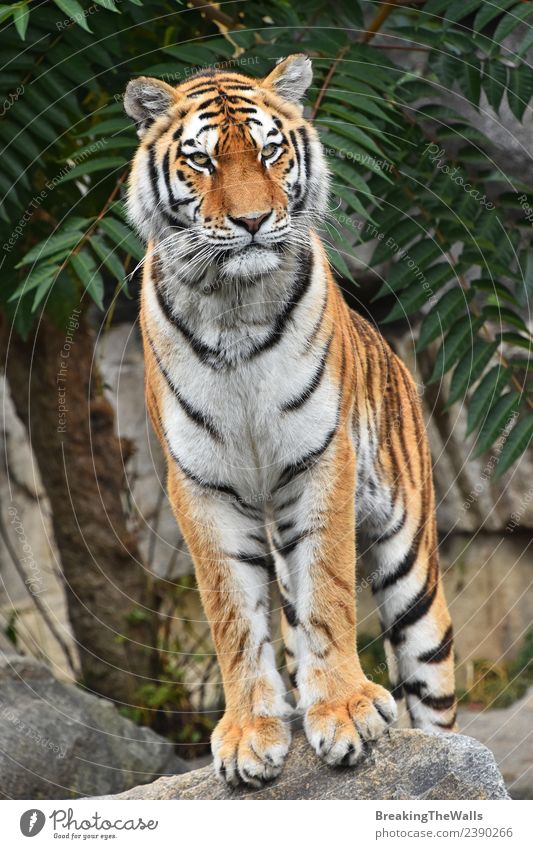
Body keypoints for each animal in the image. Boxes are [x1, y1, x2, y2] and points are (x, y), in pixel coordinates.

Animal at [123, 54, 454, 788]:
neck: (232, 303)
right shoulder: (201, 483)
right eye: (202, 160)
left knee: (436, 701)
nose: (251, 221)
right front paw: (251, 732)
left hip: (414, 573)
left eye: (270, 150)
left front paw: (347, 710)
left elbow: (328, 589)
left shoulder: (321, 457)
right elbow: (233, 614)